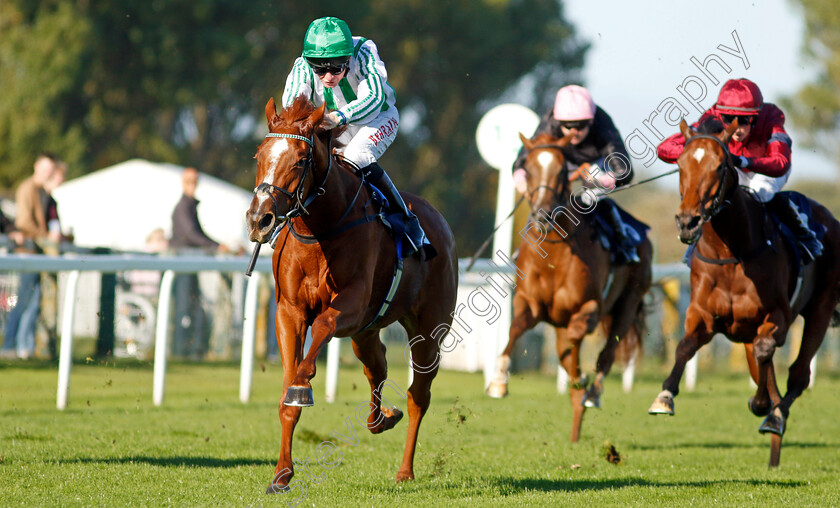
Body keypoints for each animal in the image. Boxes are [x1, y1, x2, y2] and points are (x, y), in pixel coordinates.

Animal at [248, 95, 460, 492]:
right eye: (258, 155)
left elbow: (320, 331)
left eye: (300, 159)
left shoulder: (352, 305)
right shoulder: (289, 311)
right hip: (367, 331)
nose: (259, 219)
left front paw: (303, 386)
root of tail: (439, 220)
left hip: (428, 330)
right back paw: (383, 418)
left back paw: (405, 470)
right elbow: (288, 395)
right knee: (376, 367)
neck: (319, 229)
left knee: (418, 395)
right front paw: (281, 475)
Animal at [486, 131, 656, 440]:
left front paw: (581, 378)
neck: (553, 255)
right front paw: (498, 382)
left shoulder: (589, 306)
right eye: (528, 168)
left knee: (606, 354)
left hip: (629, 302)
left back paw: (592, 391)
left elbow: (579, 339)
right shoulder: (529, 303)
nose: (542, 215)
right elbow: (516, 328)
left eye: (561, 170)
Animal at [648, 120, 840, 468]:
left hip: (820, 308)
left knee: (799, 375)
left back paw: (775, 417)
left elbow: (766, 353)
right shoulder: (703, 316)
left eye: (720, 165)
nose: (687, 222)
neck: (732, 252)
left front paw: (764, 406)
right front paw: (664, 397)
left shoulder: (777, 316)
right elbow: (684, 347)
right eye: (680, 165)